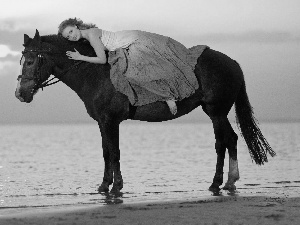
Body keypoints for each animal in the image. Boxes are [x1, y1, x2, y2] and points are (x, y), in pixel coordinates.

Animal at [15, 29, 274, 194]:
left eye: (30, 61)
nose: (20, 93)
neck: (95, 72)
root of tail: (233, 63)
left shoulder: (111, 121)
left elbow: (114, 153)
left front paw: (116, 186)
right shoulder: (102, 122)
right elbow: (106, 153)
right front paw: (104, 185)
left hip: (216, 112)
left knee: (223, 142)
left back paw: (218, 182)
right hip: (216, 112)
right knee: (230, 140)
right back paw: (228, 182)